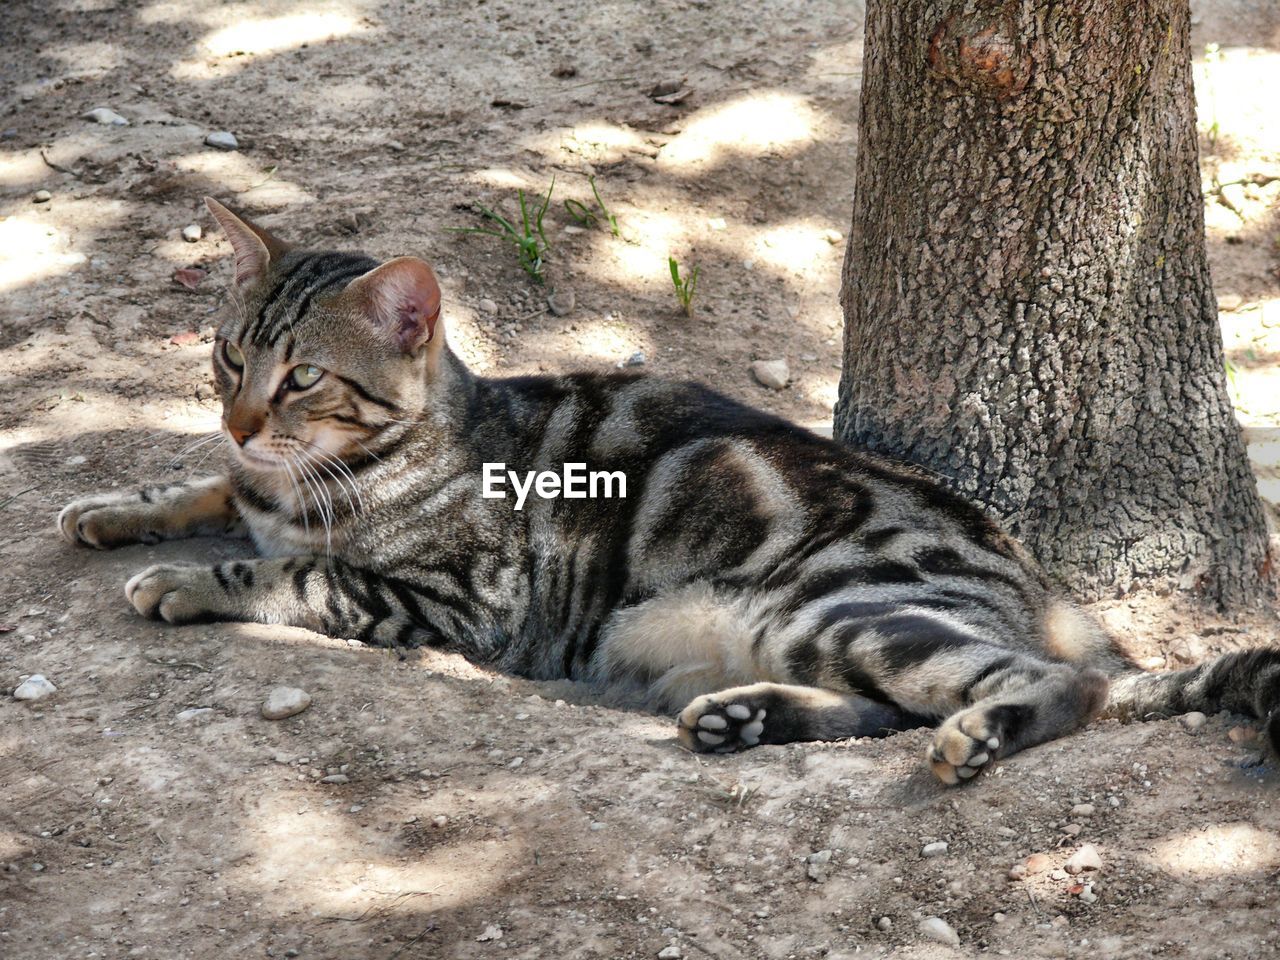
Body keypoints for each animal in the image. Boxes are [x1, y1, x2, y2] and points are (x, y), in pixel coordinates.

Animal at [57, 199, 1280, 783]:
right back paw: (744, 717)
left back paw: (975, 736)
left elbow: (296, 574)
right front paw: (120, 508)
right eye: (227, 356)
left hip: (845, 609)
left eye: (302, 376)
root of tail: (1046, 590)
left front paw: (188, 579)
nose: (239, 416)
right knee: (884, 709)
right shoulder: (250, 481)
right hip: (814, 636)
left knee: (1048, 689)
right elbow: (204, 491)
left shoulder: (463, 603)